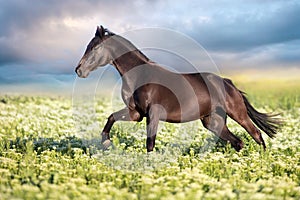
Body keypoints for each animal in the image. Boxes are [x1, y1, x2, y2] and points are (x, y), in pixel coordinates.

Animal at [75, 25, 282, 152]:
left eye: (94, 48)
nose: (79, 70)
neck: (140, 76)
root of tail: (228, 83)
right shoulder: (136, 113)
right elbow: (111, 117)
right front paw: (106, 142)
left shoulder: (153, 114)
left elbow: (150, 144)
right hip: (212, 122)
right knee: (238, 142)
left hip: (238, 114)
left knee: (256, 134)